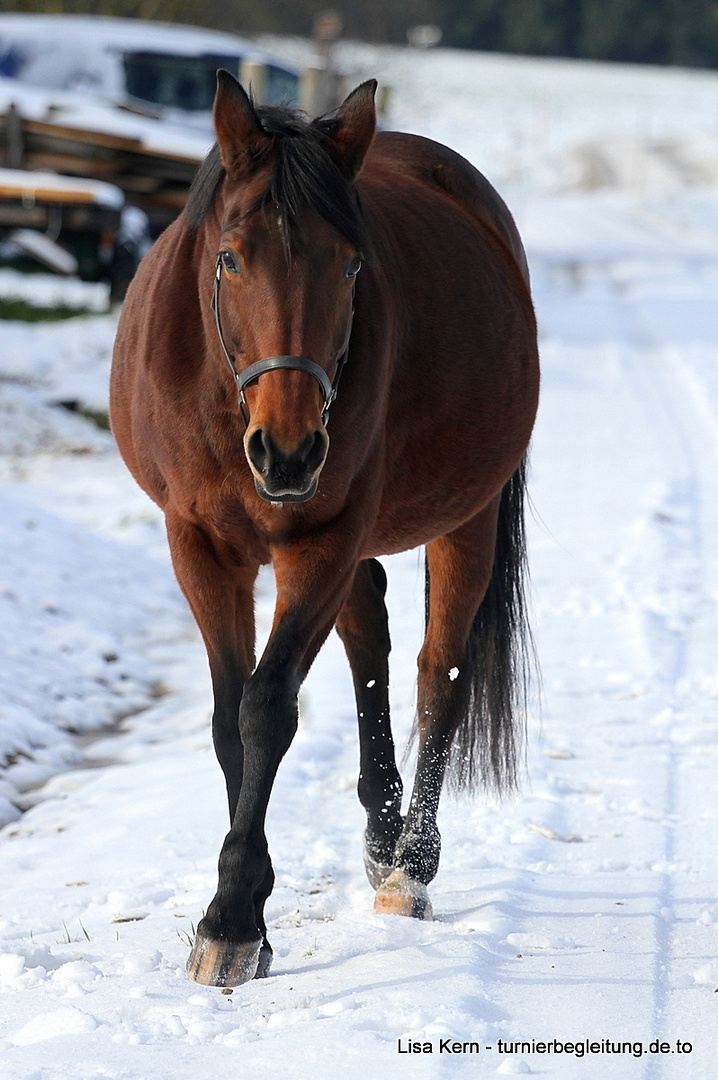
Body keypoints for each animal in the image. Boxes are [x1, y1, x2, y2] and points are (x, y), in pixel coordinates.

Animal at [110, 73, 537, 989]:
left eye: (349, 265)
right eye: (230, 257)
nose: (290, 450)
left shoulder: (322, 541)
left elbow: (268, 709)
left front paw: (231, 921)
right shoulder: (199, 546)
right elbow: (228, 718)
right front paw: (248, 914)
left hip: (465, 520)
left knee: (437, 675)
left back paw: (409, 866)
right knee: (370, 643)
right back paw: (381, 838)